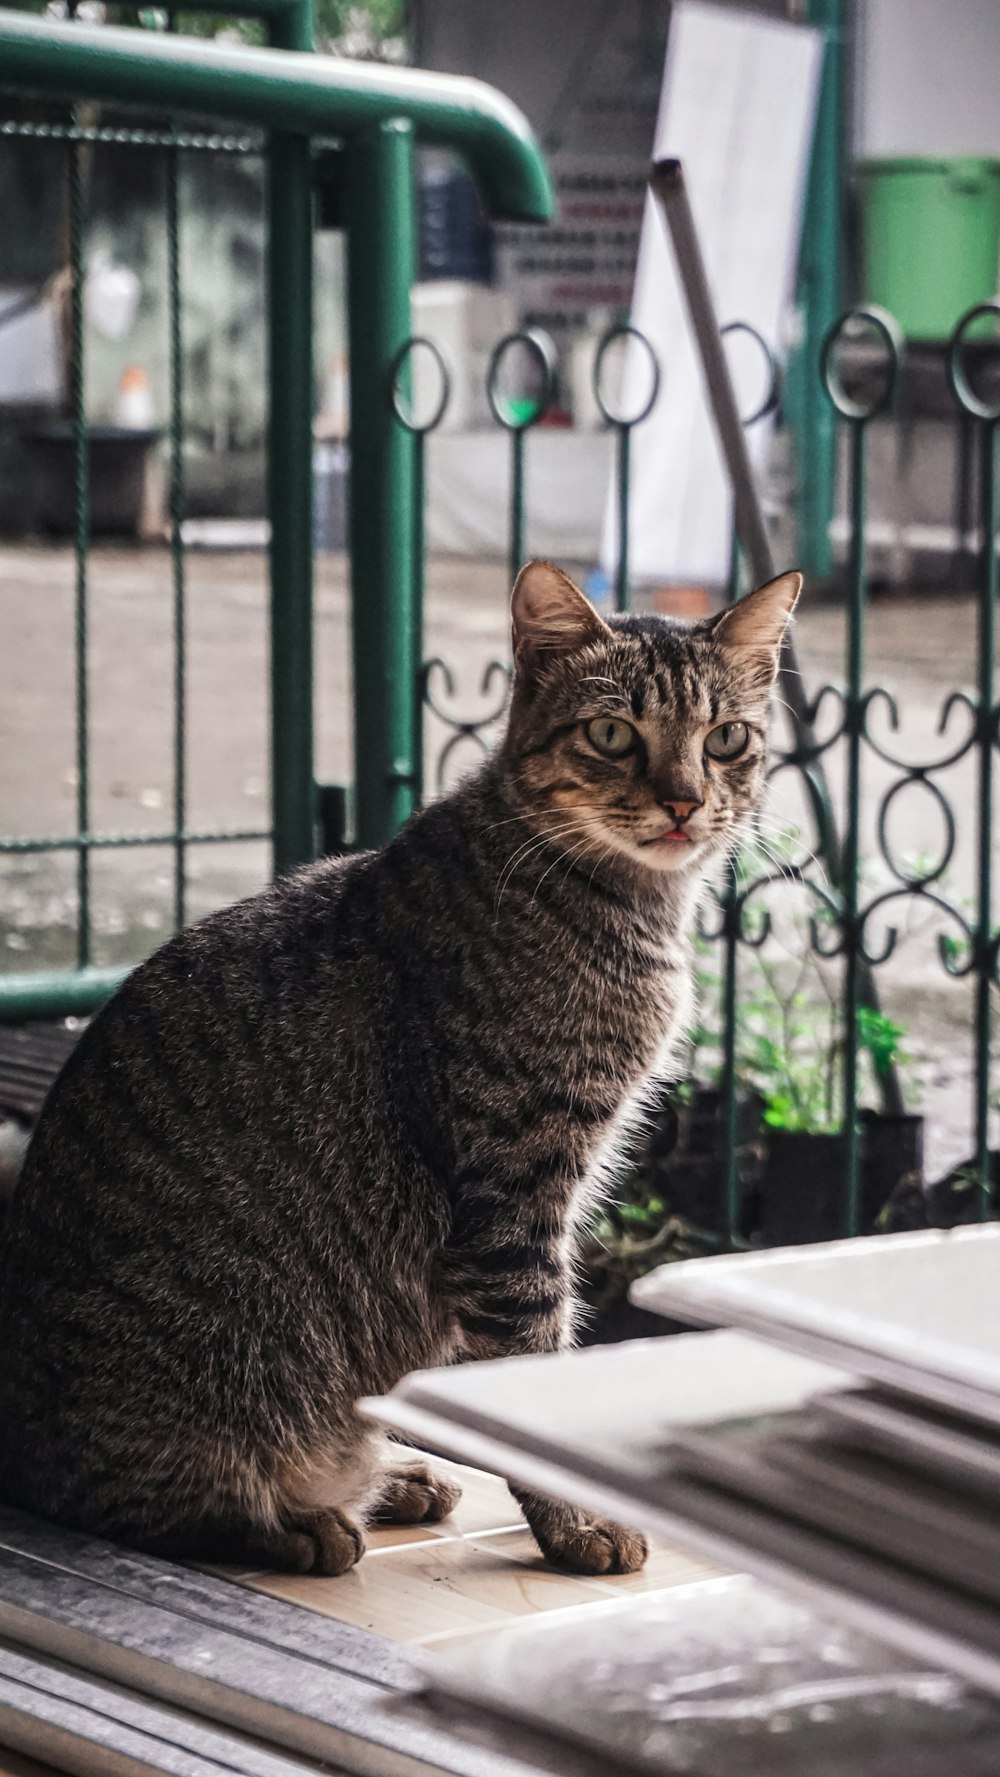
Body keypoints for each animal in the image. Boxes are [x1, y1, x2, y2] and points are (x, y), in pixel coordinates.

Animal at [0, 561, 799, 1577]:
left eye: (726, 738)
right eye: (613, 734)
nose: (687, 801)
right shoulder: (508, 1203)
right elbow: (530, 1365)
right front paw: (574, 1526)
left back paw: (396, 1479)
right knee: (145, 1501)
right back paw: (302, 1523)